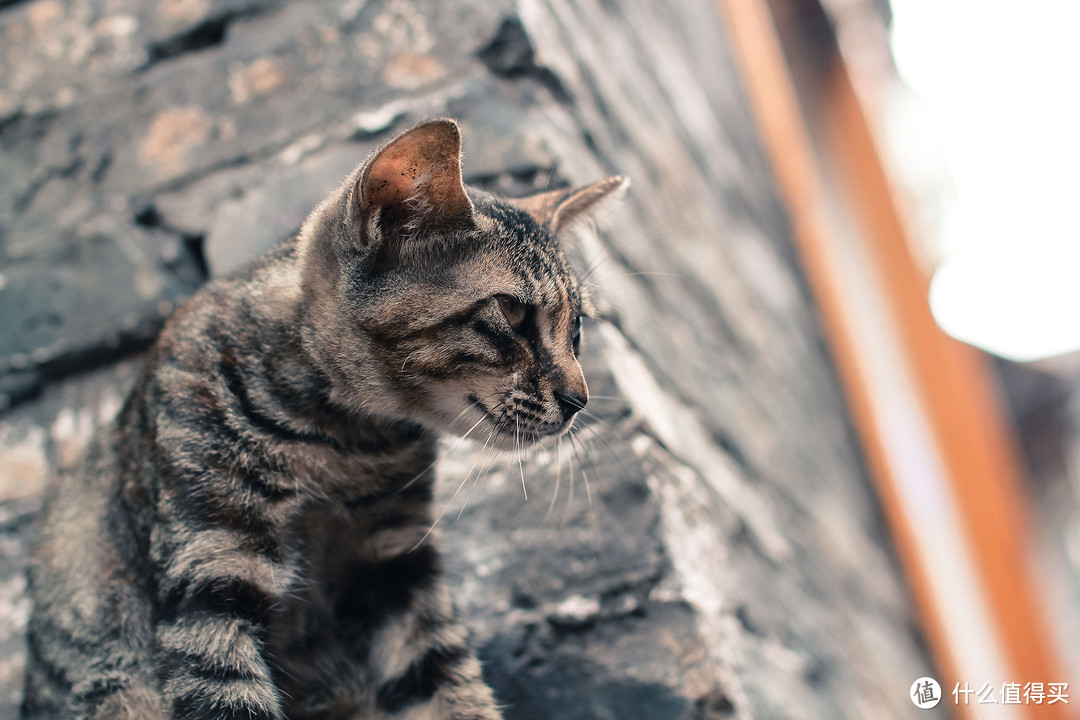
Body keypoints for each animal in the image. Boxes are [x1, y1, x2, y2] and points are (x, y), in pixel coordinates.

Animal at [23, 120, 626, 716]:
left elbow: (450, 689)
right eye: (511, 312)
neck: (343, 445)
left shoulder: (400, 569)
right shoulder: (210, 570)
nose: (580, 399)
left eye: (577, 331)